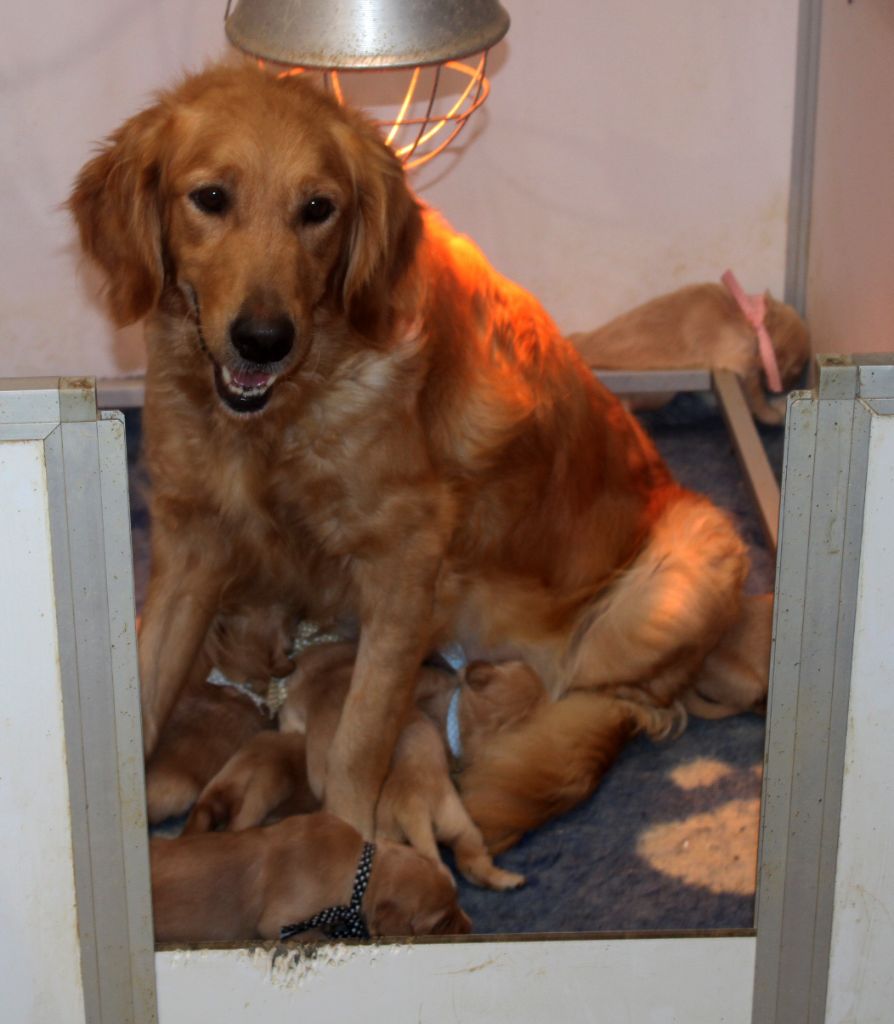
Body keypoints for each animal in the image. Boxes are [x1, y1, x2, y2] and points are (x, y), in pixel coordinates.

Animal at [70, 61, 752, 843]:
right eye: (211, 198)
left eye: (318, 208)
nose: (264, 339)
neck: (282, 419)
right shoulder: (191, 546)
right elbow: (141, 695)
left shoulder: (404, 564)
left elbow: (358, 742)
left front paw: (348, 849)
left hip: (676, 575)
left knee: (610, 700)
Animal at [569, 282, 810, 425]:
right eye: (796, 370)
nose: (790, 386)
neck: (745, 314)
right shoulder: (741, 361)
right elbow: (756, 394)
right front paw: (771, 413)